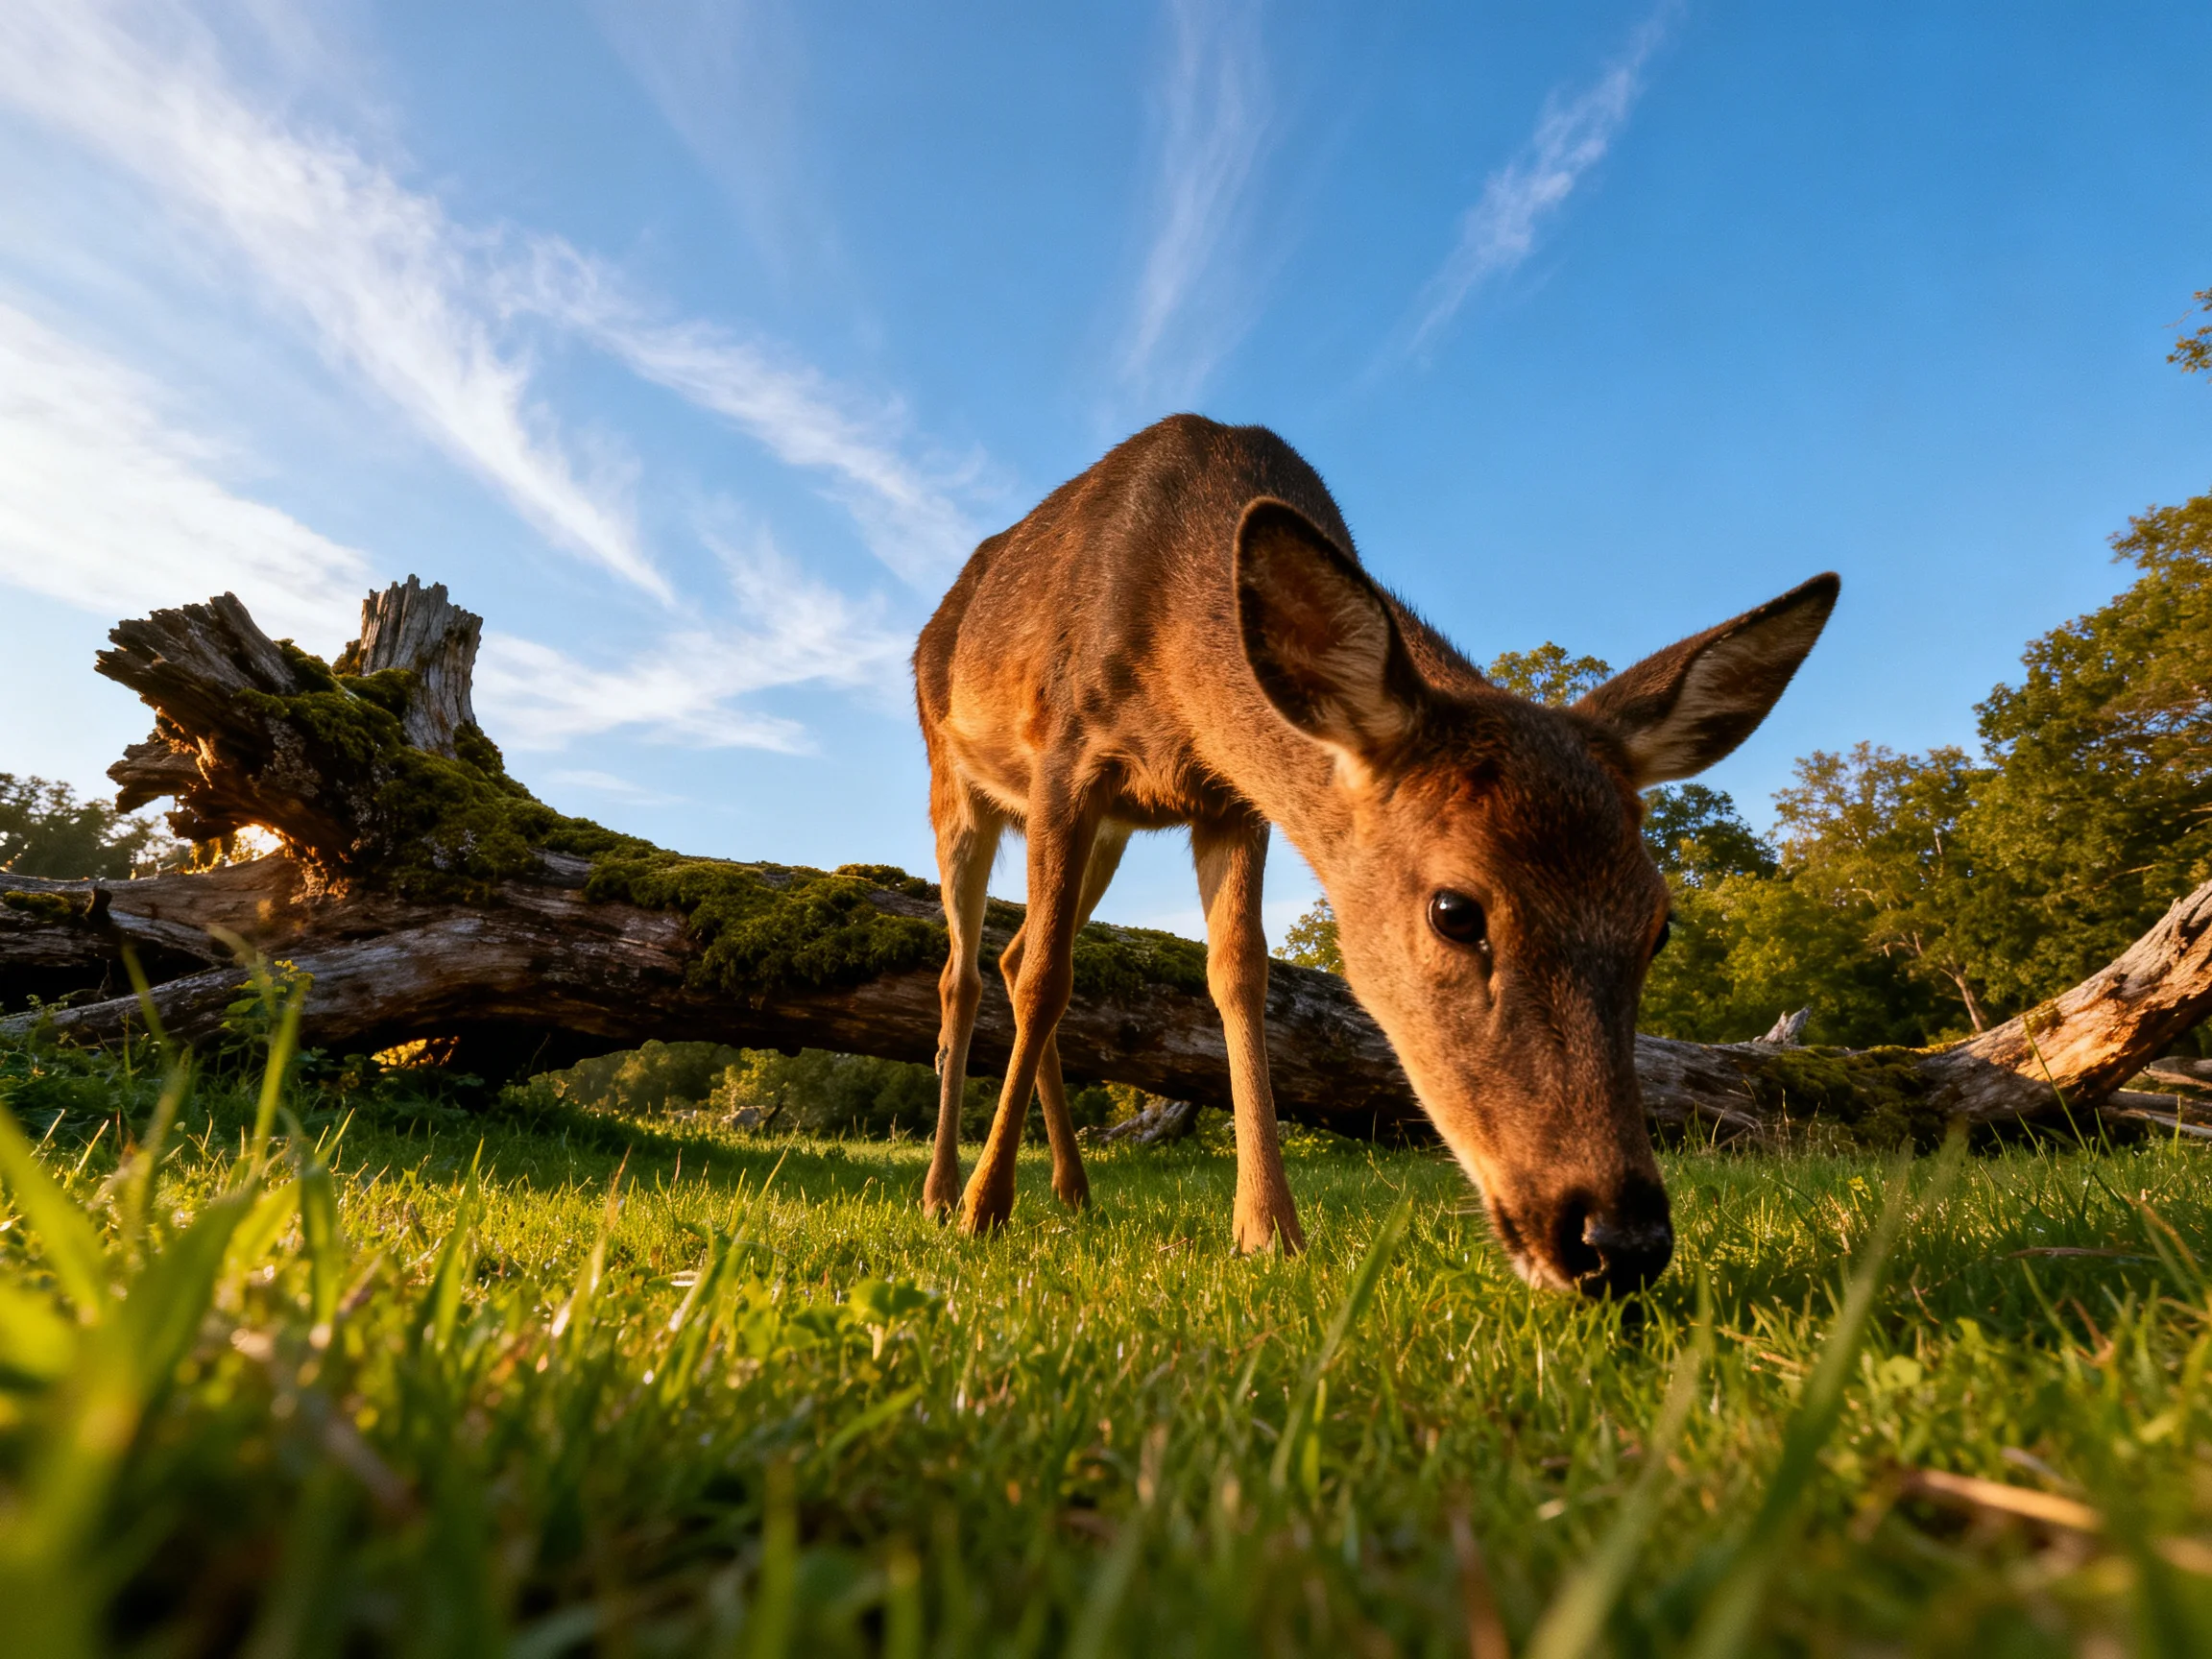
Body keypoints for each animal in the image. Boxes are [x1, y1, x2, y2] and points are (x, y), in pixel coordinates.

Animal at [912, 415, 1838, 1295]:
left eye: (1660, 926)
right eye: (1455, 911)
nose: (1620, 1240)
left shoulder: (1230, 805)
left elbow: (1239, 976)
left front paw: (1268, 1228)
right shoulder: (1067, 760)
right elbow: (1051, 981)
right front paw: (987, 1210)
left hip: (1104, 834)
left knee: (1013, 951)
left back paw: (1073, 1187)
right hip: (957, 781)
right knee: (970, 971)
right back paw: (944, 1190)